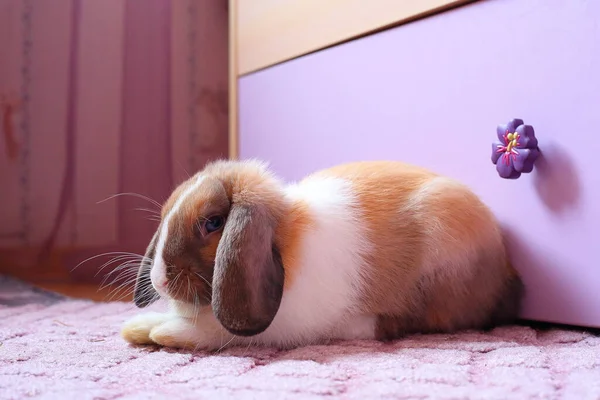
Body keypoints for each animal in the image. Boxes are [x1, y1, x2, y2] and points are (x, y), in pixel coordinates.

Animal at [119, 159, 524, 350]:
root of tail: (505, 271)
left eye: (213, 223)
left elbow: (218, 331)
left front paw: (163, 332)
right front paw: (138, 326)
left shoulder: (276, 325)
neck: (284, 241)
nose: (160, 280)